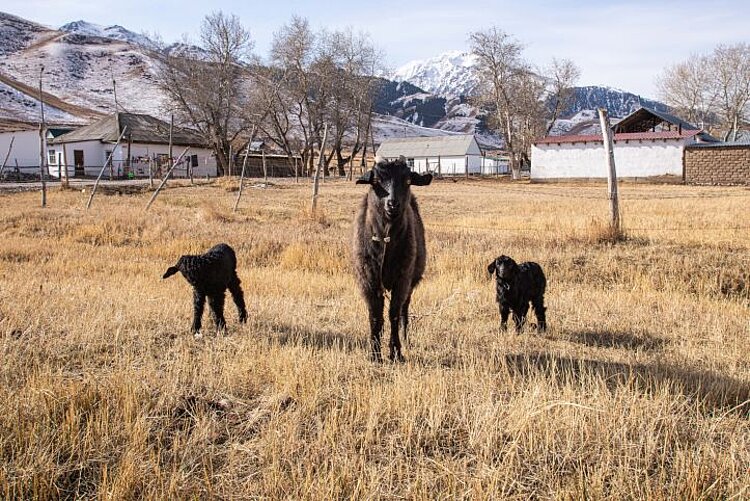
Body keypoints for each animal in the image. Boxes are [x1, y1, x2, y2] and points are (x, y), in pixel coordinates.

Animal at [354, 158, 434, 362]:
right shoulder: (369, 281)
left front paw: (396, 351)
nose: (392, 204)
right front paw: (375, 354)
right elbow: (375, 316)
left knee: (404, 309)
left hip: (410, 281)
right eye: (375, 181)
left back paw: (405, 338)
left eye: (407, 181)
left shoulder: (402, 280)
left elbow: (394, 314)